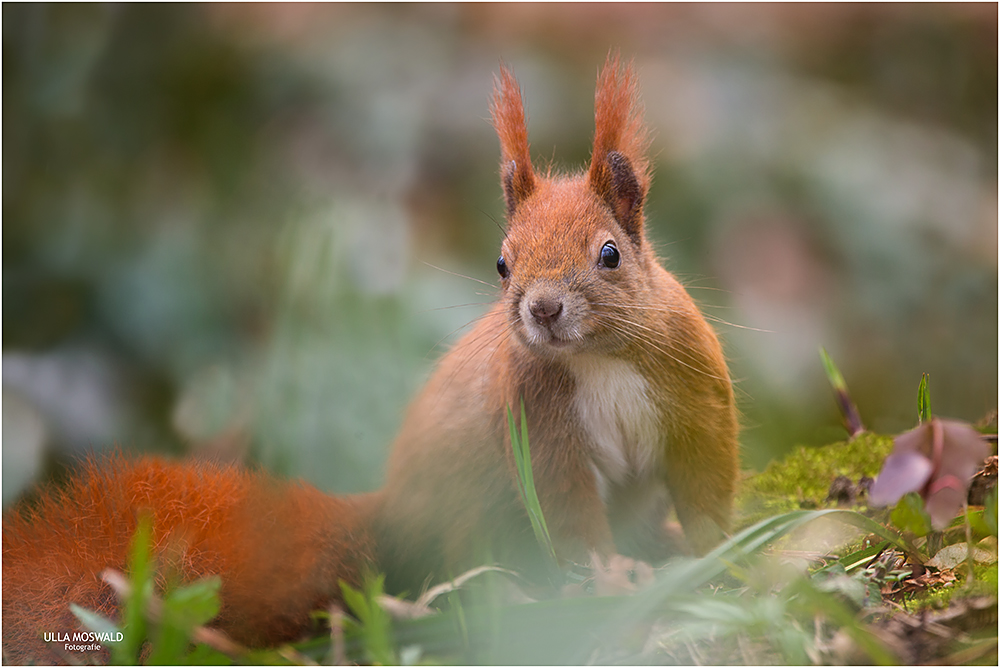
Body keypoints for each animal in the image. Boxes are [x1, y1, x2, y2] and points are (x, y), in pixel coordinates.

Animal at [0, 54, 736, 660]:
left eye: (610, 253)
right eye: (502, 264)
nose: (544, 309)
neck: (597, 359)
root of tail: (393, 519)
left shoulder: (693, 390)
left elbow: (705, 479)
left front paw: (713, 556)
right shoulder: (536, 425)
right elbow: (570, 512)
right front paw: (613, 578)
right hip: (467, 521)